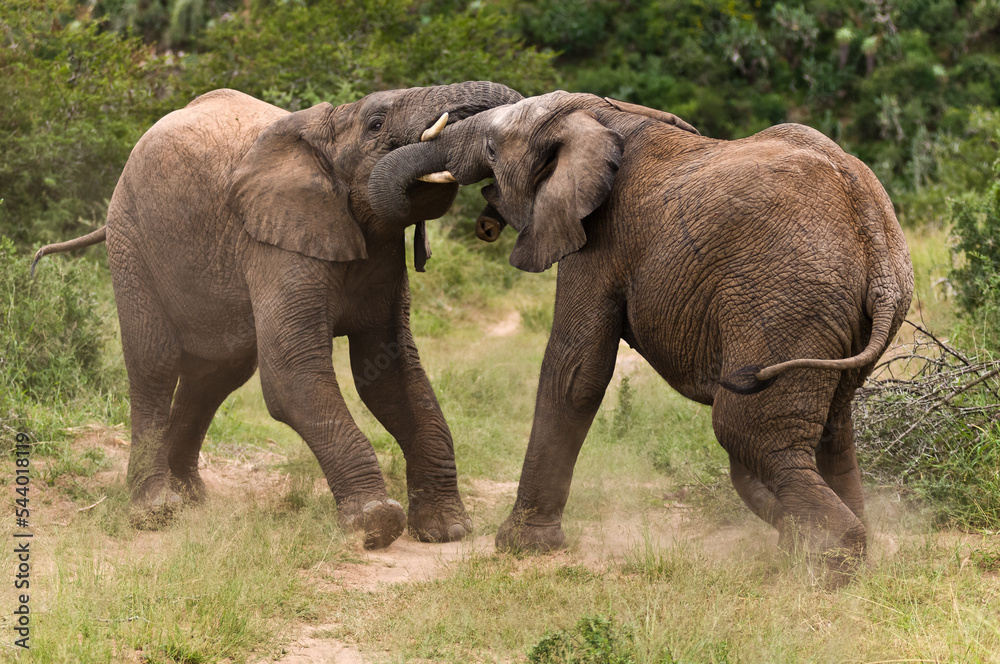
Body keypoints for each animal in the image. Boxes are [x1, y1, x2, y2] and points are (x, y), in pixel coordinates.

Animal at [32, 82, 523, 548]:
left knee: (217, 373)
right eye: (376, 124)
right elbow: (292, 373)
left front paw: (448, 529)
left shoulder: (383, 254)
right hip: (131, 238)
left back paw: (191, 497)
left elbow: (389, 374)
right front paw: (375, 524)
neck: (326, 128)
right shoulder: (275, 242)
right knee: (155, 362)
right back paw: (156, 510)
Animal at [367, 91, 914, 577]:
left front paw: (520, 547)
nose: (482, 223)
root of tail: (875, 238)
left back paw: (824, 566)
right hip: (835, 320)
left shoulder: (598, 240)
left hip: (784, 304)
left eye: (492, 149)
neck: (598, 115)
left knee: (743, 430)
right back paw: (819, 550)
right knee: (832, 428)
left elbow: (576, 371)